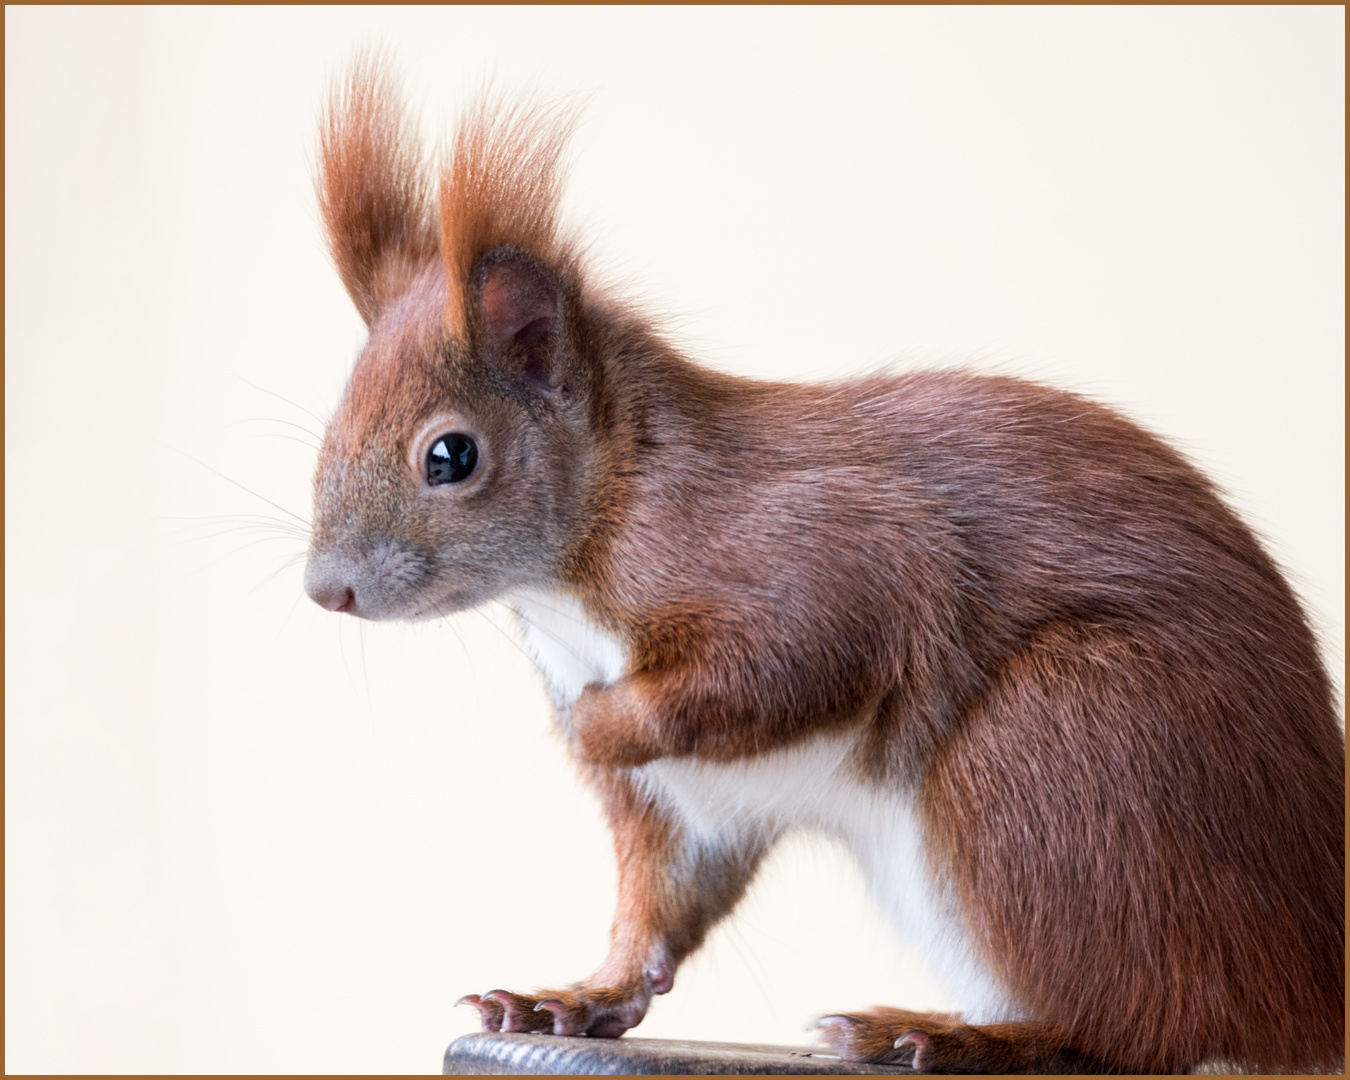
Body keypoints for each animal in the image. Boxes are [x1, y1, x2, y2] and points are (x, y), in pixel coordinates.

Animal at [301, 59, 1344, 1069]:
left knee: (1155, 1023)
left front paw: (599, 727)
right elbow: (658, 900)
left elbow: (782, 664)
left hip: (1064, 745)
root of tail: (1316, 994)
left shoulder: (816, 557)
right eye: (333, 421)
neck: (585, 558)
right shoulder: (689, 801)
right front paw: (579, 997)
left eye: (451, 456)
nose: (325, 589)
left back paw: (962, 1036)